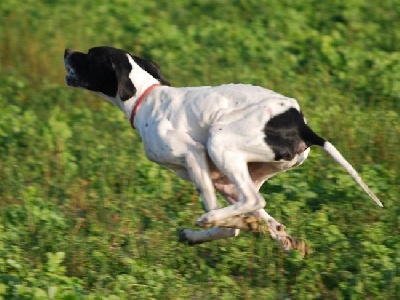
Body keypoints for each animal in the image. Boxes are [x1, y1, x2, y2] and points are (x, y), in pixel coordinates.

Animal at [64, 46, 382, 253]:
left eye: (89, 55)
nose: (67, 51)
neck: (146, 98)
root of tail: (300, 122)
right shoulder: (219, 180)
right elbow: (252, 221)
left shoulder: (193, 155)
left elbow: (229, 221)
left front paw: (213, 225)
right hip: (241, 170)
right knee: (256, 206)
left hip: (220, 142)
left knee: (252, 201)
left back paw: (210, 223)